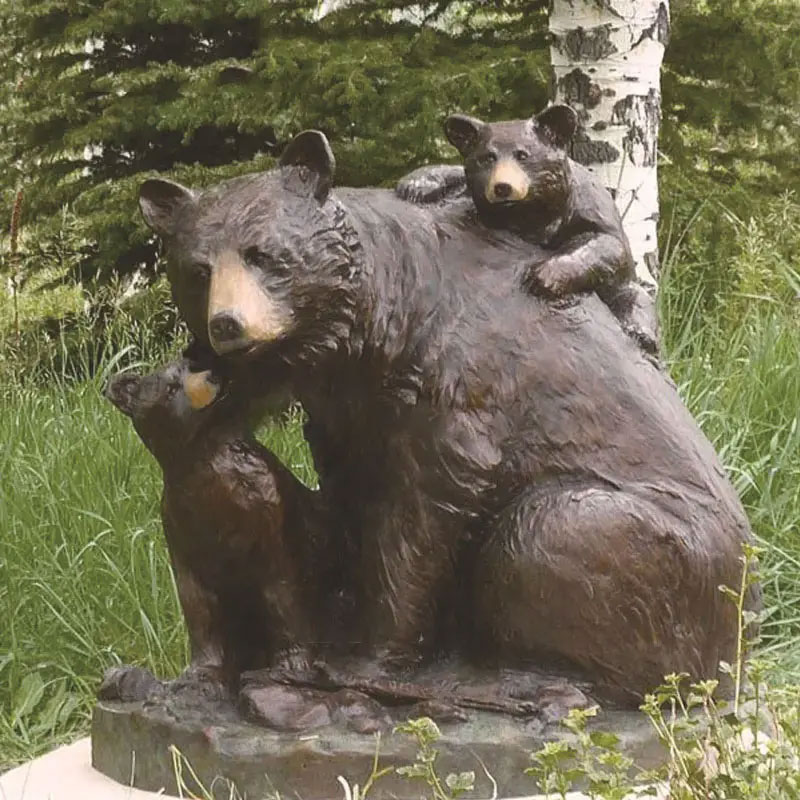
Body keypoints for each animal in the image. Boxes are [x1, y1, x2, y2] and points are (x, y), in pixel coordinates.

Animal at [138, 130, 756, 700]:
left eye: (264, 255)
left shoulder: (459, 387)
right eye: (197, 270)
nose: (226, 324)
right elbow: (348, 492)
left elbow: (423, 509)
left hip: (669, 558)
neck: (377, 326)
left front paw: (364, 661)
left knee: (548, 532)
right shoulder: (351, 409)